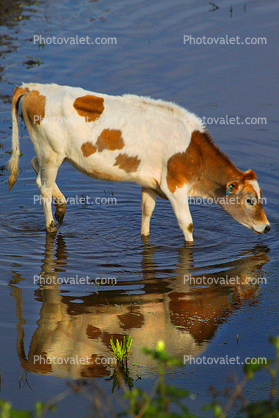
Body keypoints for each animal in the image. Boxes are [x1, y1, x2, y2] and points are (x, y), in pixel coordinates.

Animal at [8, 83, 272, 240]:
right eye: (250, 200)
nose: (267, 226)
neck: (194, 153)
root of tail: (34, 87)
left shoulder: (150, 183)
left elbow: (146, 212)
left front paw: (144, 236)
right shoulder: (175, 187)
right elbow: (187, 224)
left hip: (52, 153)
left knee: (35, 167)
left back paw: (61, 205)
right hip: (51, 153)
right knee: (43, 186)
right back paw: (51, 224)